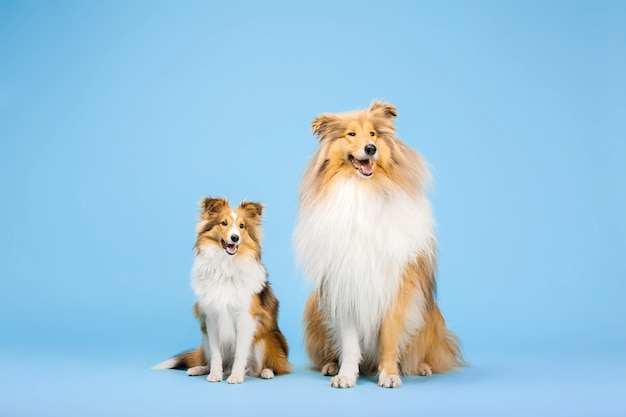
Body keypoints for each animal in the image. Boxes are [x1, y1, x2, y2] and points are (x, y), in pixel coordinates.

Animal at [154, 198, 290, 384]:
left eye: (242, 226)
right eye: (223, 223)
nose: (235, 238)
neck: (226, 265)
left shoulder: (245, 317)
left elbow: (240, 353)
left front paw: (236, 376)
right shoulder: (212, 317)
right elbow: (216, 354)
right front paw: (215, 374)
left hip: (267, 340)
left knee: (268, 366)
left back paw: (265, 372)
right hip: (205, 338)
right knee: (215, 361)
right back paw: (201, 369)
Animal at [294, 100, 464, 386]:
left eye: (373, 134)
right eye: (351, 134)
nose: (370, 148)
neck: (364, 190)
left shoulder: (397, 287)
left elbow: (390, 338)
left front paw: (390, 374)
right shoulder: (345, 285)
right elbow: (350, 344)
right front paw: (345, 376)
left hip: (430, 315)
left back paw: (421, 367)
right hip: (314, 306)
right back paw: (330, 366)